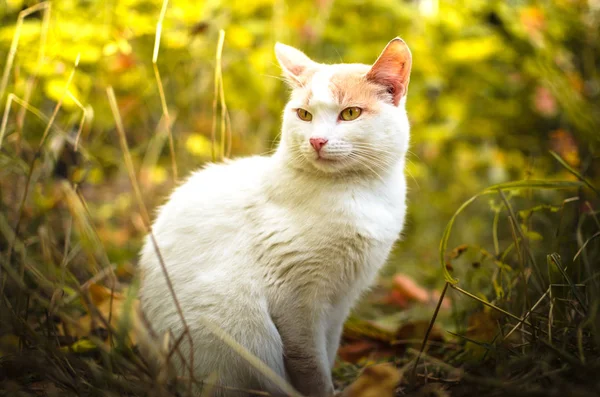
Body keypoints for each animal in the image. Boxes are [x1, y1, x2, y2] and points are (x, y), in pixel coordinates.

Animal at [139, 38, 412, 396]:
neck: (357, 192)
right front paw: (322, 391)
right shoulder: (296, 302)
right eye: (304, 115)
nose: (316, 140)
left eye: (350, 113)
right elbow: (312, 365)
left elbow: (329, 350)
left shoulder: (341, 301)